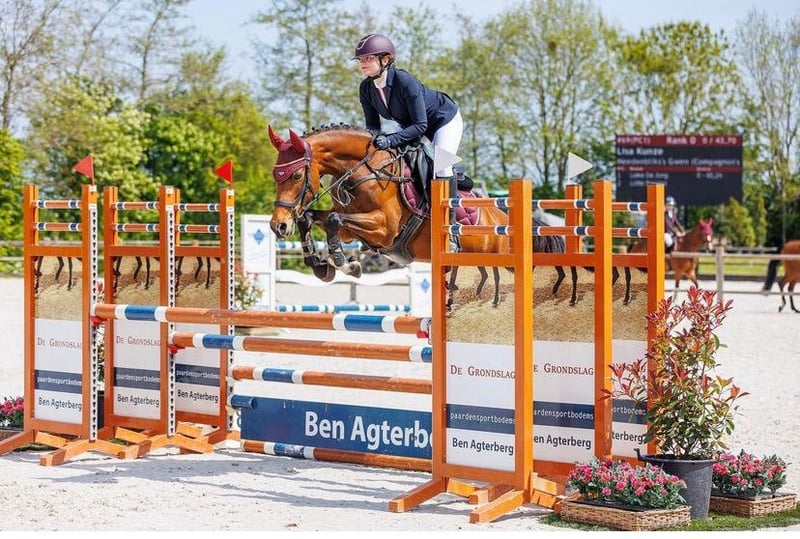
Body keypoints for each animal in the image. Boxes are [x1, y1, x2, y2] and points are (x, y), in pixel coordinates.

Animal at [267, 124, 565, 307]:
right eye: (275, 176)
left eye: (296, 176)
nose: (277, 226)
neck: (364, 170)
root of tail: (503, 219)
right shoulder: (352, 230)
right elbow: (312, 218)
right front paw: (320, 266)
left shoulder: (383, 229)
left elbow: (332, 220)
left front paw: (345, 264)